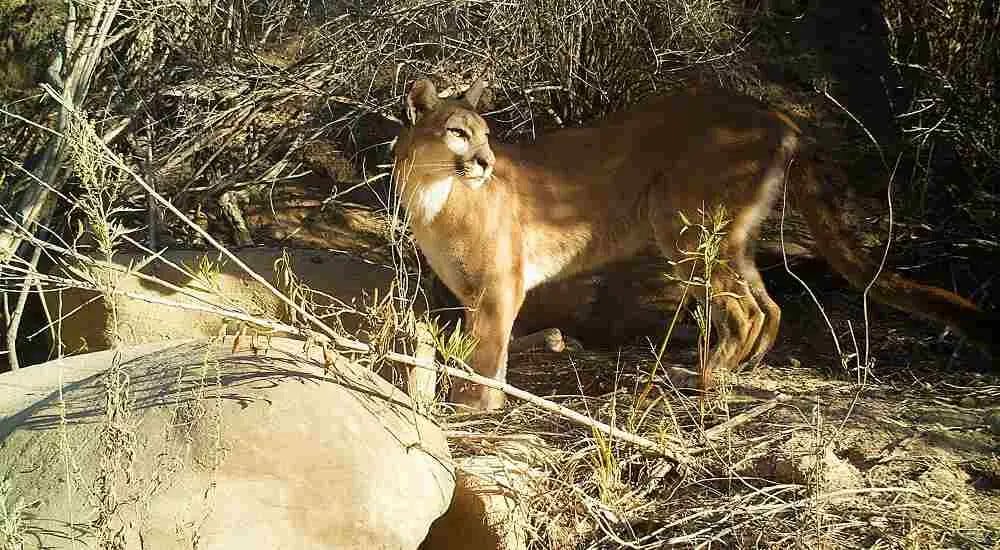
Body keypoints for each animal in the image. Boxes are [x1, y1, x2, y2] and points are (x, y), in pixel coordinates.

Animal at [394, 80, 996, 412]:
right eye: (457, 132)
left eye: (485, 135)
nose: (485, 162)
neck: (432, 195)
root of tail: (777, 115)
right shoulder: (471, 292)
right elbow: (472, 346)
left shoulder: (500, 286)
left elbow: (488, 351)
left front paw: (478, 404)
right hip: (726, 237)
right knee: (769, 303)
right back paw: (738, 372)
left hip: (683, 227)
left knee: (748, 309)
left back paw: (707, 379)